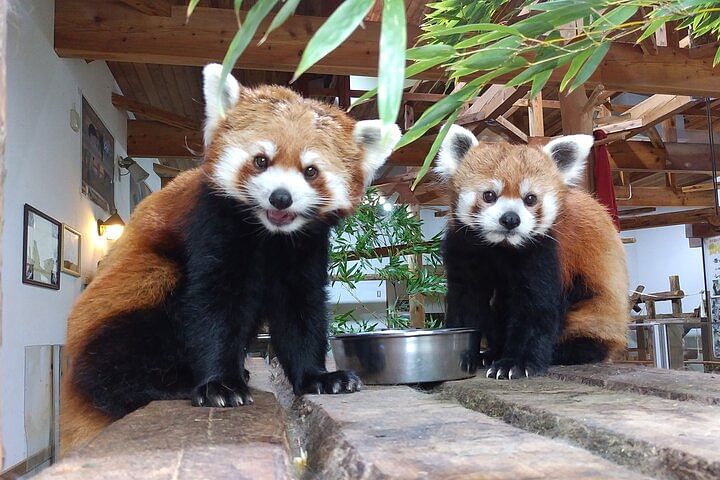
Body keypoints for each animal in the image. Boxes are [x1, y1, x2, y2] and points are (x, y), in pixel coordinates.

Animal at [59, 64, 402, 454]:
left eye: (311, 171)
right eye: (261, 161)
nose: (281, 197)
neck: (269, 236)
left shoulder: (304, 248)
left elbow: (301, 310)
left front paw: (317, 377)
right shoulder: (212, 224)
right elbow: (214, 307)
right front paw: (219, 385)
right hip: (128, 299)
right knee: (113, 356)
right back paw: (175, 382)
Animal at [436, 125, 628, 380]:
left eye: (530, 199)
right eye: (489, 195)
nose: (510, 219)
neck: (500, 247)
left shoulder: (545, 253)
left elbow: (536, 308)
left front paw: (516, 363)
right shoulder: (464, 248)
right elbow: (467, 301)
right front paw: (469, 351)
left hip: (596, 312)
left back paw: (558, 352)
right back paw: (493, 353)